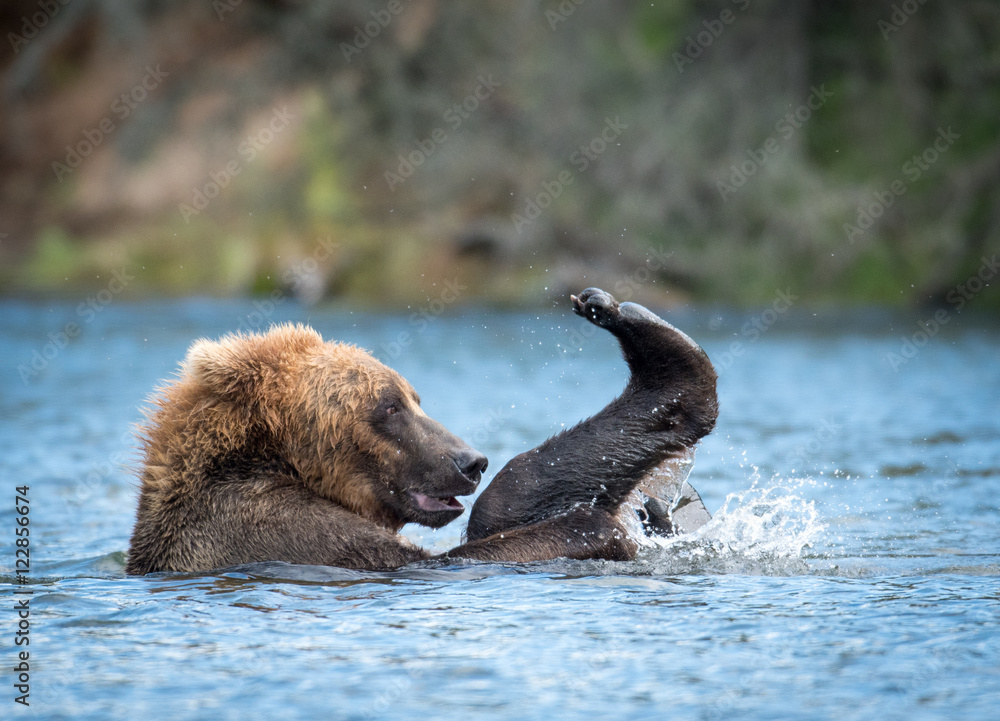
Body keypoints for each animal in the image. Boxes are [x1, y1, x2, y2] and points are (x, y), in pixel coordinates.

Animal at [124, 287, 717, 574]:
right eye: (388, 406)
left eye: (415, 397)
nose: (470, 460)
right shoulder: (276, 528)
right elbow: (448, 560)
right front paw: (598, 526)